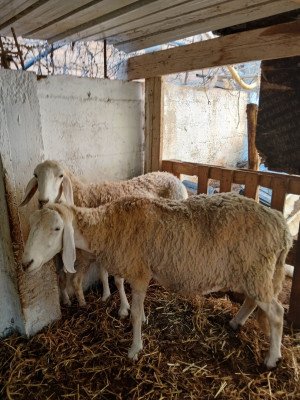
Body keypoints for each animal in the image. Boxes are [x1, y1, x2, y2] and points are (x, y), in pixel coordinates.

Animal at [19, 160, 188, 312]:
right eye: (35, 175)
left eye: (60, 175)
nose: (43, 201)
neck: (84, 198)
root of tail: (170, 175)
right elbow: (102, 273)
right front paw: (105, 295)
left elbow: (117, 279)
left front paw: (124, 308)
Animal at [21, 192, 292, 368]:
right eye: (31, 225)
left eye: (57, 229)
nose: (26, 263)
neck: (108, 226)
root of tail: (282, 227)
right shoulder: (136, 269)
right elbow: (131, 300)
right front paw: (139, 319)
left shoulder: (140, 272)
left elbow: (134, 314)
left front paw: (134, 349)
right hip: (253, 272)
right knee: (252, 301)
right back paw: (236, 323)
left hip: (256, 269)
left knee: (276, 312)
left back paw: (271, 359)